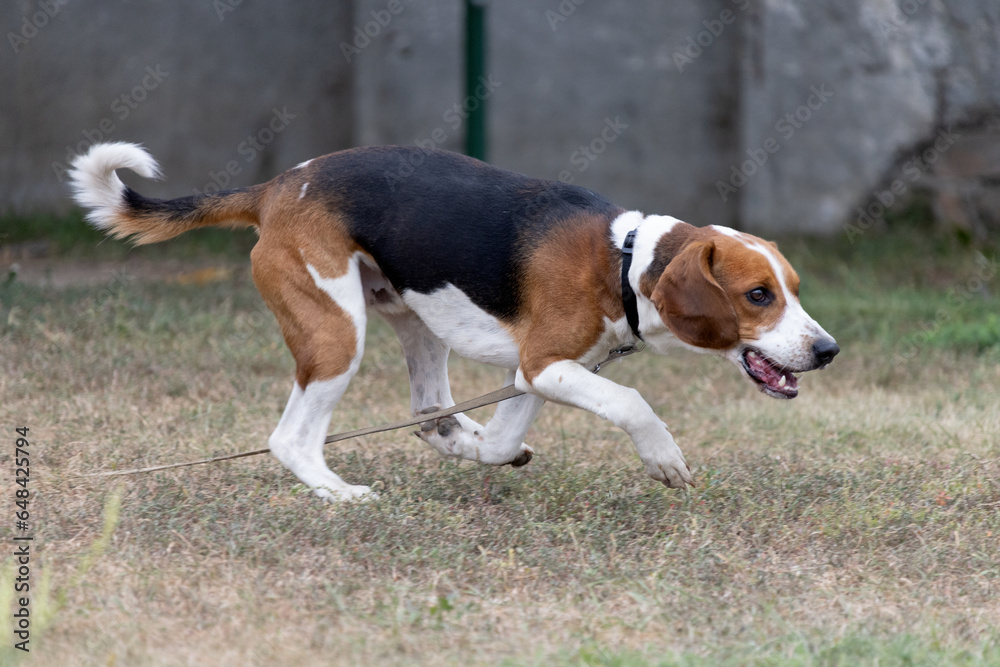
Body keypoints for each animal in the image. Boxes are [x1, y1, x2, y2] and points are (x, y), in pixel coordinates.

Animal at [68, 145, 836, 500]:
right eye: (758, 294)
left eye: (793, 290)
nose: (827, 349)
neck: (624, 261)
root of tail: (278, 186)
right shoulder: (547, 363)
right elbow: (632, 401)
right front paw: (665, 458)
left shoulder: (535, 373)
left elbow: (501, 443)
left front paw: (479, 449)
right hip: (337, 332)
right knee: (290, 437)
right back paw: (338, 492)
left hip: (410, 320)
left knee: (425, 408)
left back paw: (446, 433)